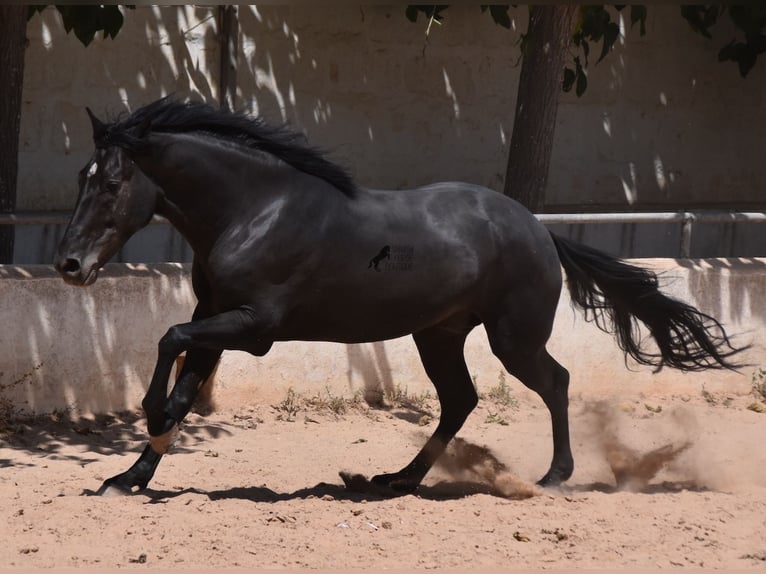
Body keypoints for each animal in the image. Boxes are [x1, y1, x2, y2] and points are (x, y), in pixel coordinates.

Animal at [57, 98, 748, 496]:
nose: (69, 264)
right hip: (437, 334)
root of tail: (537, 228)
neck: (254, 210)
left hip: (513, 338)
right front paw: (126, 478)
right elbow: (181, 388)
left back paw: (554, 478)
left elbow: (168, 345)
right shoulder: (215, 315)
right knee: (460, 399)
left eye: (112, 182)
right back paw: (396, 479)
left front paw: (143, 423)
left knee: (554, 382)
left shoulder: (252, 325)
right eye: (81, 177)